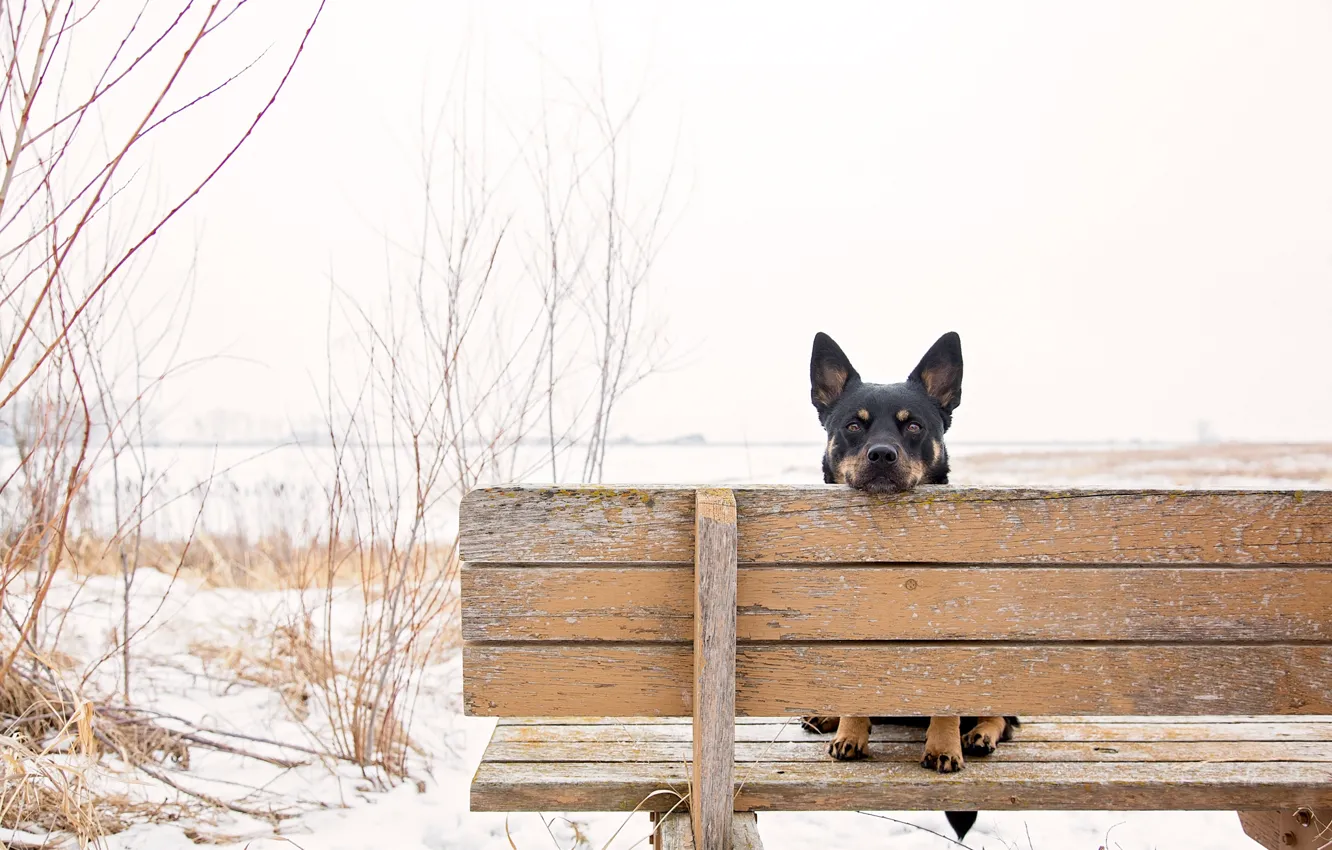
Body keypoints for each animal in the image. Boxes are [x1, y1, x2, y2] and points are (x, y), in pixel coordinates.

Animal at [799, 333, 1017, 847]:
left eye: (913, 426)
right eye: (854, 427)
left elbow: (948, 703)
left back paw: (981, 733)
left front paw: (945, 746)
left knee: (1006, 716)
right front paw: (850, 731)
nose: (882, 455)